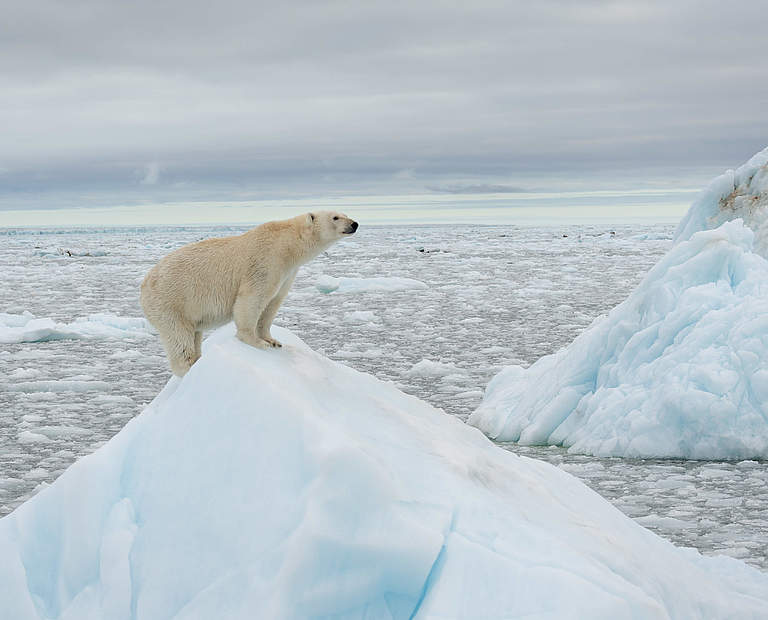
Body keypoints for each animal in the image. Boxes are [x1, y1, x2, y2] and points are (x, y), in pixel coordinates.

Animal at [140, 213, 356, 376]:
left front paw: (273, 341)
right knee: (179, 338)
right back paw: (189, 367)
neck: (288, 243)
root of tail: (144, 286)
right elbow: (253, 298)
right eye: (335, 217)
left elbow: (272, 303)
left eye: (345, 213)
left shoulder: (287, 273)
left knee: (194, 334)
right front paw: (256, 342)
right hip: (171, 303)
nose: (354, 224)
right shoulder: (266, 261)